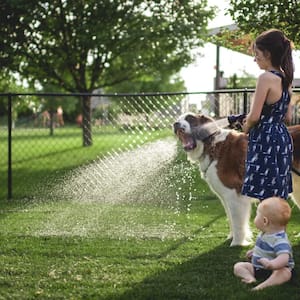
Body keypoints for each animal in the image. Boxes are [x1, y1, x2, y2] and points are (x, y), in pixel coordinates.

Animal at [173, 112, 300, 246]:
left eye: (190, 119)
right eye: (177, 119)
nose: (175, 124)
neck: (212, 145)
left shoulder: (233, 194)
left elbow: (237, 221)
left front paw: (237, 242)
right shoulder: (225, 197)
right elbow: (230, 218)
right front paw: (232, 237)